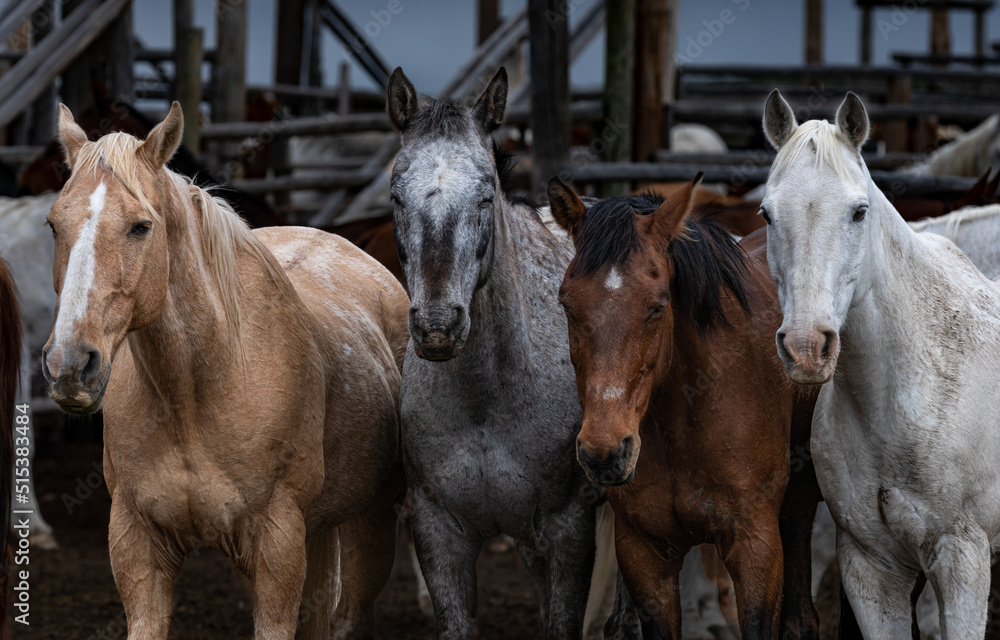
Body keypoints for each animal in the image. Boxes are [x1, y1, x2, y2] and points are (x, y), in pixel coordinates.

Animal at [42, 102, 409, 639]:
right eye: (52, 225)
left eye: (140, 227)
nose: (69, 364)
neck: (195, 393)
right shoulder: (136, 545)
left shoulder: (278, 549)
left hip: (374, 525)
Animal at [387, 66, 632, 639]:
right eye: (397, 197)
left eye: (484, 196)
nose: (437, 326)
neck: (485, 402)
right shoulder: (439, 533)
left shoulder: (567, 532)